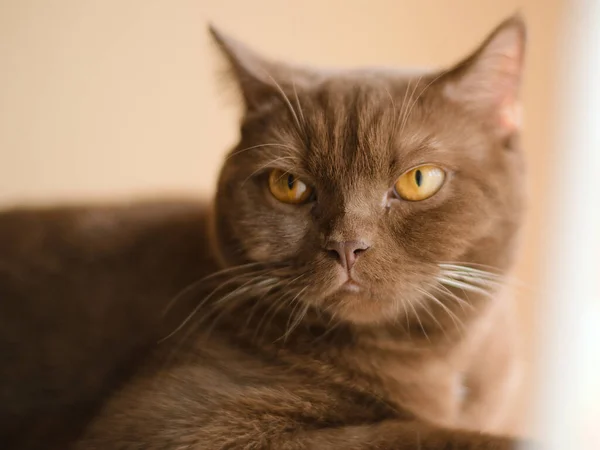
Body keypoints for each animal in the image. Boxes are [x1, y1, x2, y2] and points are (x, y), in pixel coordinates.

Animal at [0, 14, 524, 450]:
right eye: (288, 185)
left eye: (419, 181)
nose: (347, 245)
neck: (436, 371)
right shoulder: (168, 424)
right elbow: (396, 434)